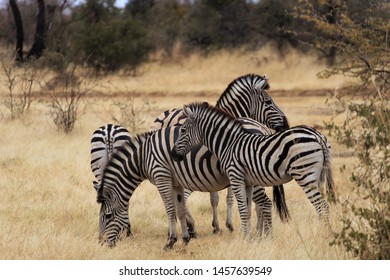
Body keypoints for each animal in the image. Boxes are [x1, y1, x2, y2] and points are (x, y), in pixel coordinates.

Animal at [96, 117, 282, 248]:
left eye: (107, 216)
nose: (101, 243)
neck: (143, 157)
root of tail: (260, 126)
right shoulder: (176, 182)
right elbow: (180, 210)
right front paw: (185, 239)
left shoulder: (162, 177)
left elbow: (170, 210)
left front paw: (170, 241)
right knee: (259, 205)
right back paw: (259, 236)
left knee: (265, 203)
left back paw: (265, 238)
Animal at [152, 73, 290, 233]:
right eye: (268, 102)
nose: (285, 124)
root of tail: (164, 120)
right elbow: (229, 198)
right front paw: (228, 224)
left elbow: (214, 198)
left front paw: (217, 225)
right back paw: (190, 224)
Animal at [172, 101, 336, 235]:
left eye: (183, 131)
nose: (173, 154)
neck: (228, 144)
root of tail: (318, 135)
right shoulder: (248, 182)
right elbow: (248, 209)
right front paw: (251, 237)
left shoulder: (236, 176)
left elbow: (242, 209)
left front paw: (245, 238)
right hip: (318, 176)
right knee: (324, 204)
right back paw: (326, 233)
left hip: (304, 174)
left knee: (322, 206)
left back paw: (323, 234)